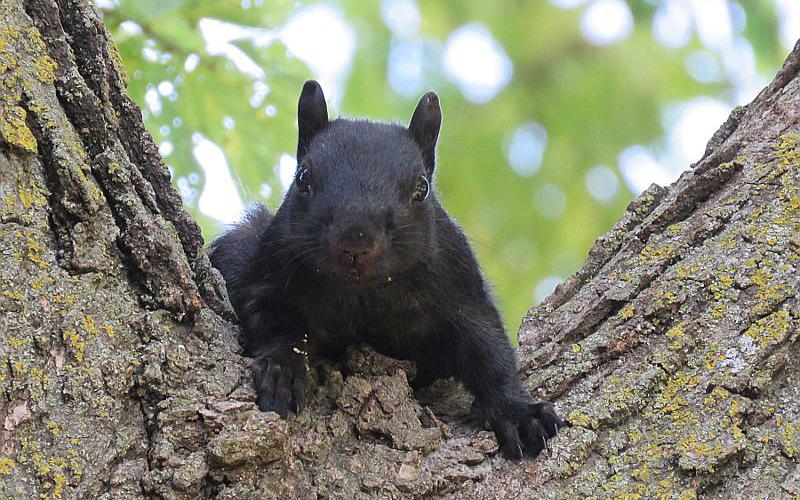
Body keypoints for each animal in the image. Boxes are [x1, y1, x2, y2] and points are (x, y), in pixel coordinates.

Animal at [208, 80, 568, 458]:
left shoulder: (458, 284)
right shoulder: (269, 275)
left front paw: (518, 412)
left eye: (422, 188)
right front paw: (283, 369)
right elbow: (273, 322)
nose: (355, 242)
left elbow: (488, 348)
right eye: (303, 178)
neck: (364, 294)